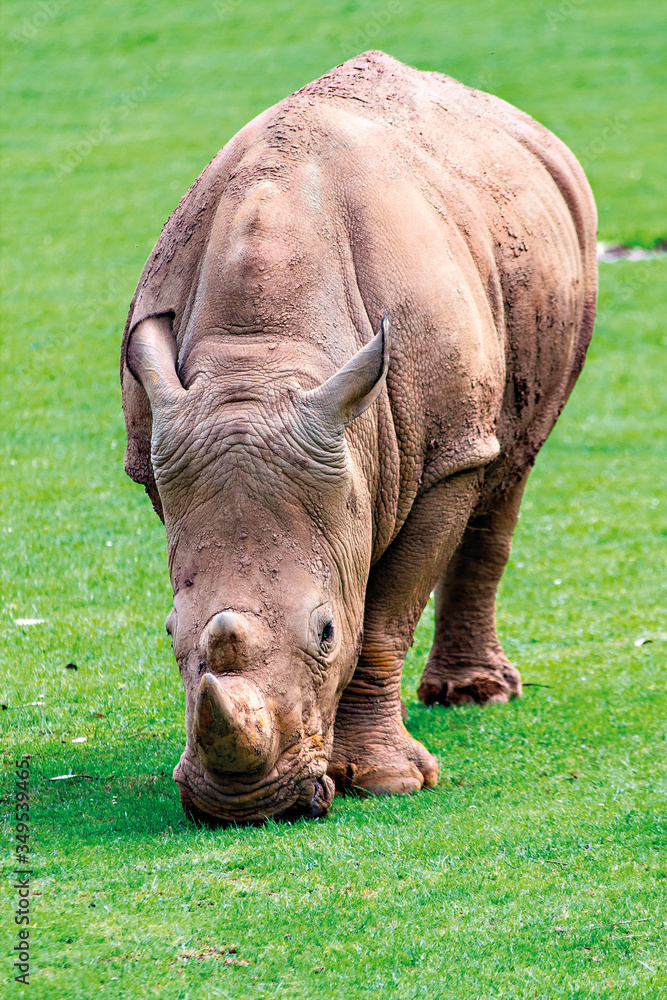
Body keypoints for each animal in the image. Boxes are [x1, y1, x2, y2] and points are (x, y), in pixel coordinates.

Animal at [121, 51, 596, 823]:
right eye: (166, 632)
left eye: (324, 632)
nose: (244, 807)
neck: (263, 358)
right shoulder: (169, 444)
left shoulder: (443, 458)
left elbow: (383, 616)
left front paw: (383, 781)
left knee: (510, 463)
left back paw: (476, 697)